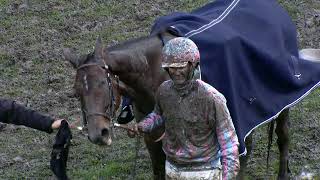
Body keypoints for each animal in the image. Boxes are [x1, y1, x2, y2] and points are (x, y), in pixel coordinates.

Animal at [63, 0, 320, 179]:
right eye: (76, 92)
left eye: (102, 85)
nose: (98, 134)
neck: (156, 73)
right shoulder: (153, 138)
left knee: (282, 136)